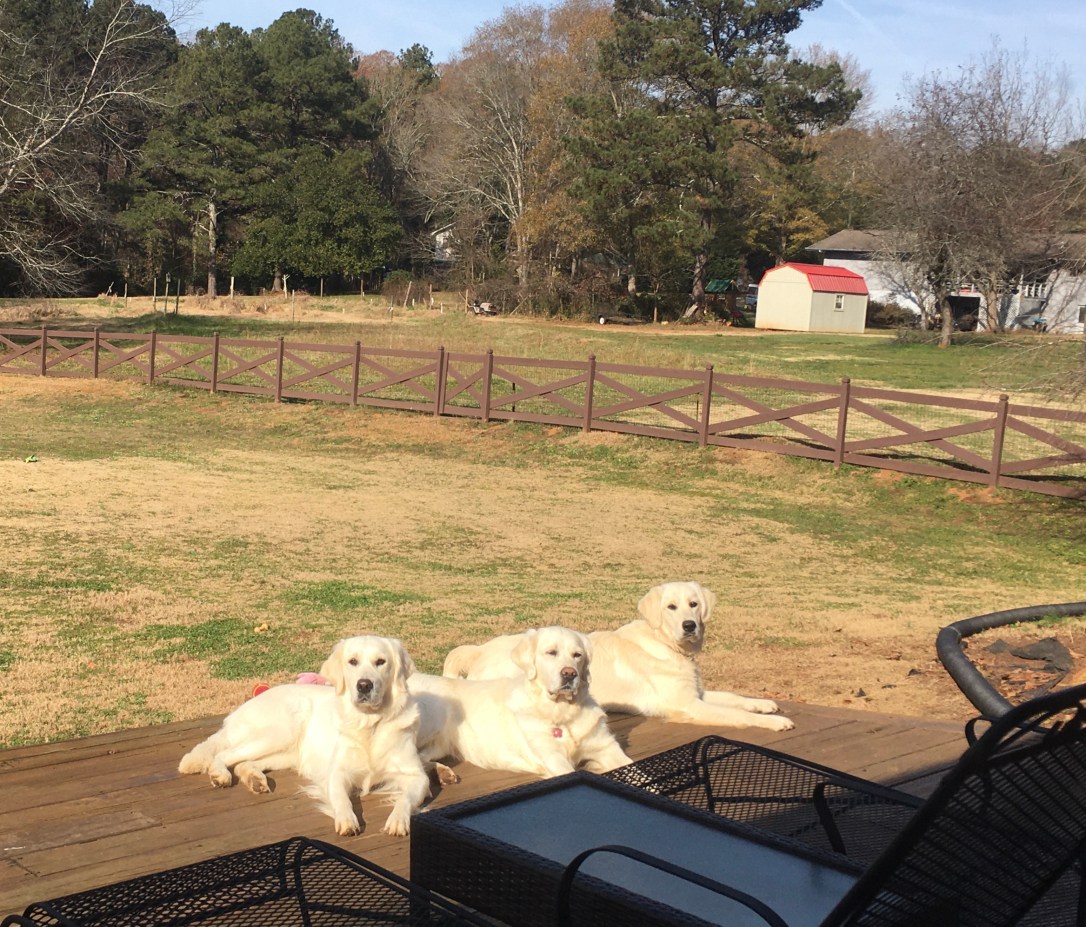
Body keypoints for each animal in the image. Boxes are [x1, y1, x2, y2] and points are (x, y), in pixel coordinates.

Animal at [178, 636, 431, 836]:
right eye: (353, 661)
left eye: (381, 662)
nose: (364, 685)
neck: (370, 724)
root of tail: (243, 707)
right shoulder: (336, 773)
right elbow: (341, 798)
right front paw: (347, 820)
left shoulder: (417, 776)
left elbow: (406, 798)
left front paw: (398, 820)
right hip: (280, 731)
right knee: (223, 754)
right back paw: (220, 774)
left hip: (287, 754)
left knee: (243, 763)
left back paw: (255, 780)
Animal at [411, 626, 632, 779]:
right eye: (551, 652)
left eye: (577, 655)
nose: (570, 673)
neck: (561, 712)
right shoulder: (553, 758)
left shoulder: (606, 747)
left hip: (440, 744)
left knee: (419, 759)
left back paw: (442, 773)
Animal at [443, 581, 794, 731]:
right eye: (671, 607)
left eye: (693, 604)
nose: (689, 625)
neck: (666, 644)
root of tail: (479, 650)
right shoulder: (687, 705)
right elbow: (734, 714)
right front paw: (775, 722)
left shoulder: (696, 692)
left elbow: (733, 698)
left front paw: (764, 704)